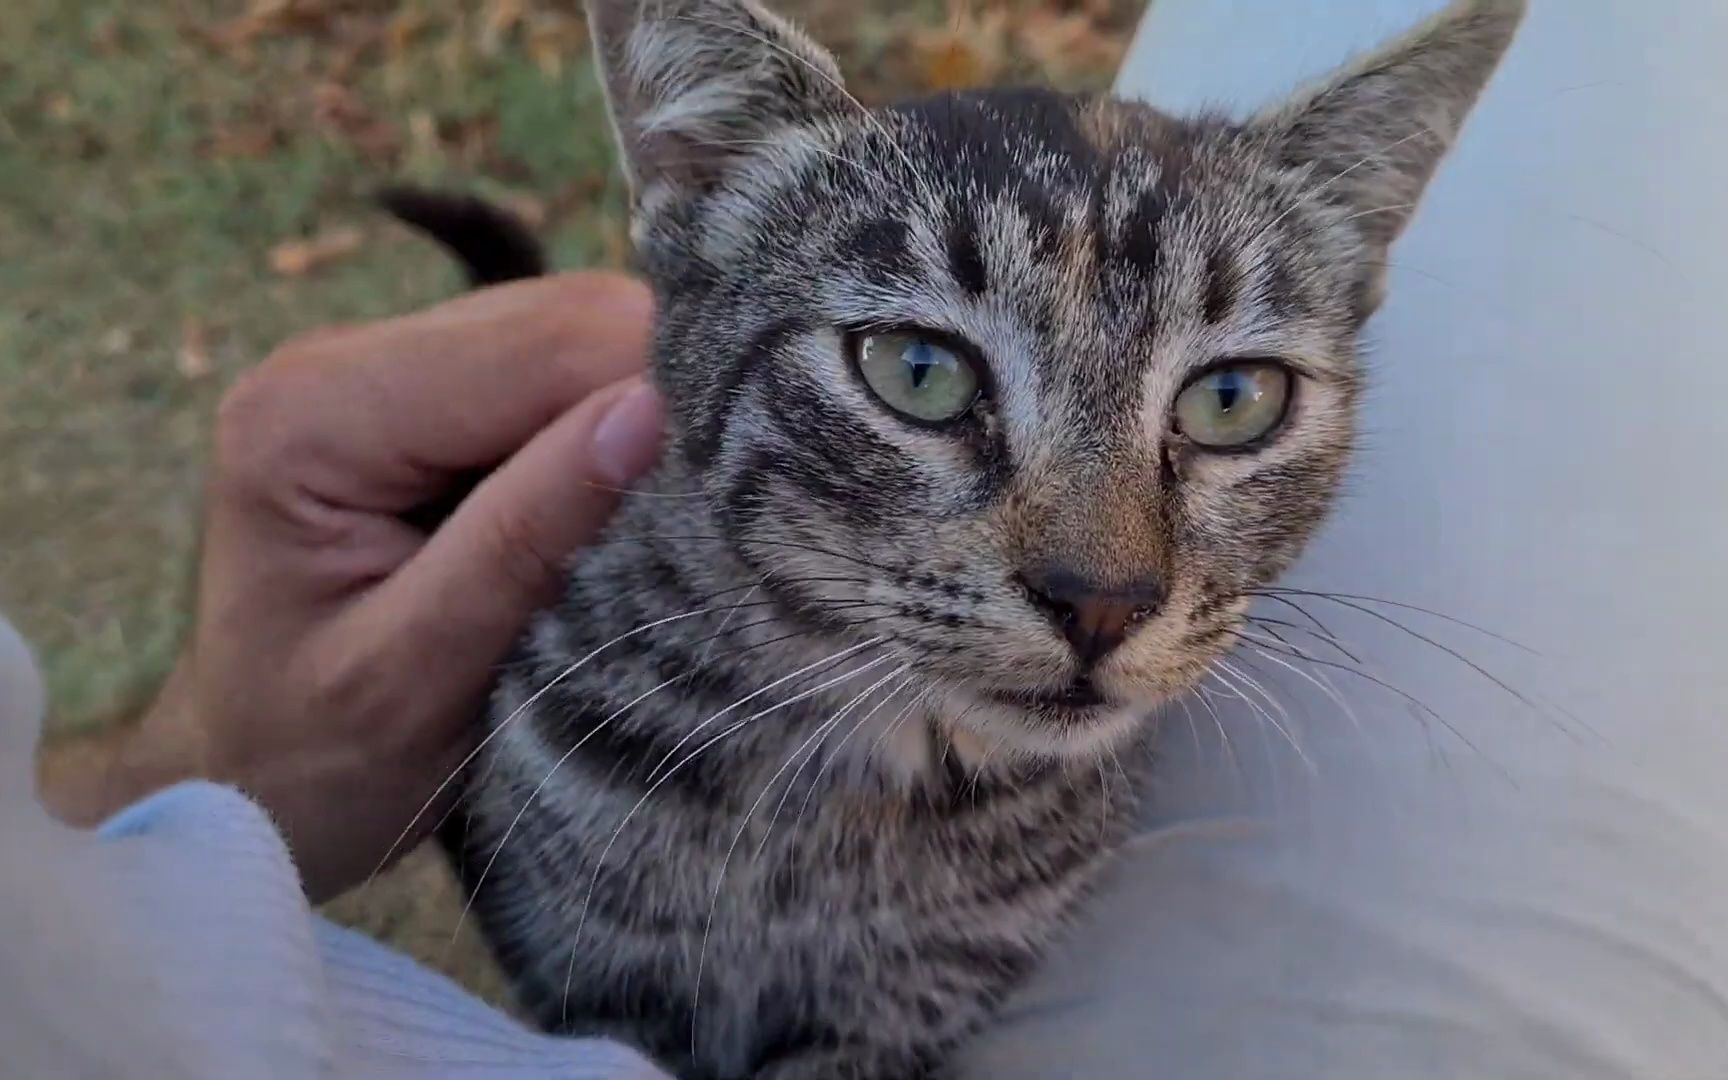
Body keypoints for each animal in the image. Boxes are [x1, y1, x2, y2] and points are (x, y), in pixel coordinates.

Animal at [392, 4, 1527, 1071]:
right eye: (918, 371)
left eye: (1233, 399)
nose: (1100, 600)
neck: (837, 794)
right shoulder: (591, 975)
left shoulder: (911, 1009)